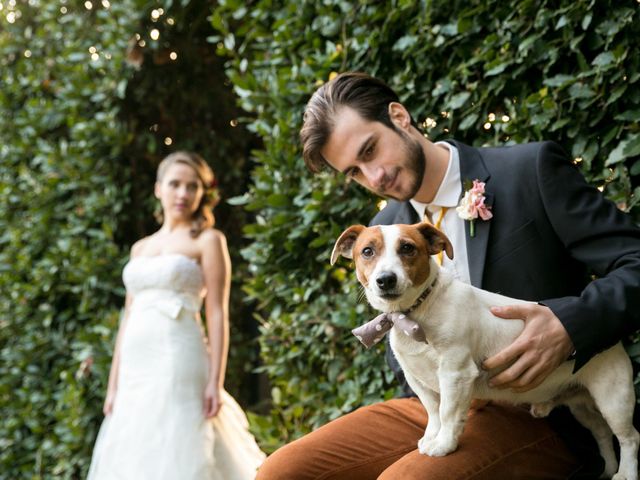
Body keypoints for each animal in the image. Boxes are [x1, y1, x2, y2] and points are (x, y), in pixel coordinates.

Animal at [332, 223, 636, 478]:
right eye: (367, 251)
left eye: (407, 248)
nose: (385, 279)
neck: (416, 312)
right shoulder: (416, 378)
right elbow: (433, 412)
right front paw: (432, 436)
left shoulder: (455, 372)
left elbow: (447, 412)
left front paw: (444, 445)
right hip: (580, 403)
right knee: (601, 433)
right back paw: (609, 468)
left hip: (613, 398)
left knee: (630, 438)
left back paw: (626, 473)